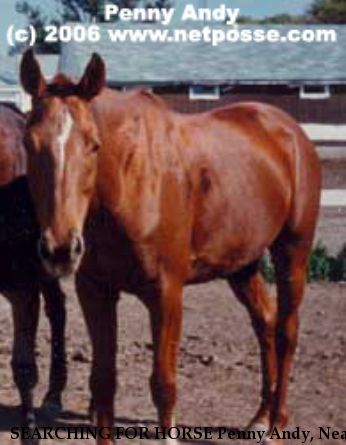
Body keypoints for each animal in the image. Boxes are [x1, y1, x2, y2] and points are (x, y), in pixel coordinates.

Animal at [19, 50, 322, 442]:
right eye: (29, 144)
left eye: (93, 145)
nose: (60, 248)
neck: (130, 182)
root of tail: (290, 132)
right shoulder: (95, 292)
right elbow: (103, 381)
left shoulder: (166, 293)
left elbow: (163, 383)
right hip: (242, 265)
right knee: (266, 323)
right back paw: (259, 417)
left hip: (292, 254)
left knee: (287, 331)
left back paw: (277, 423)